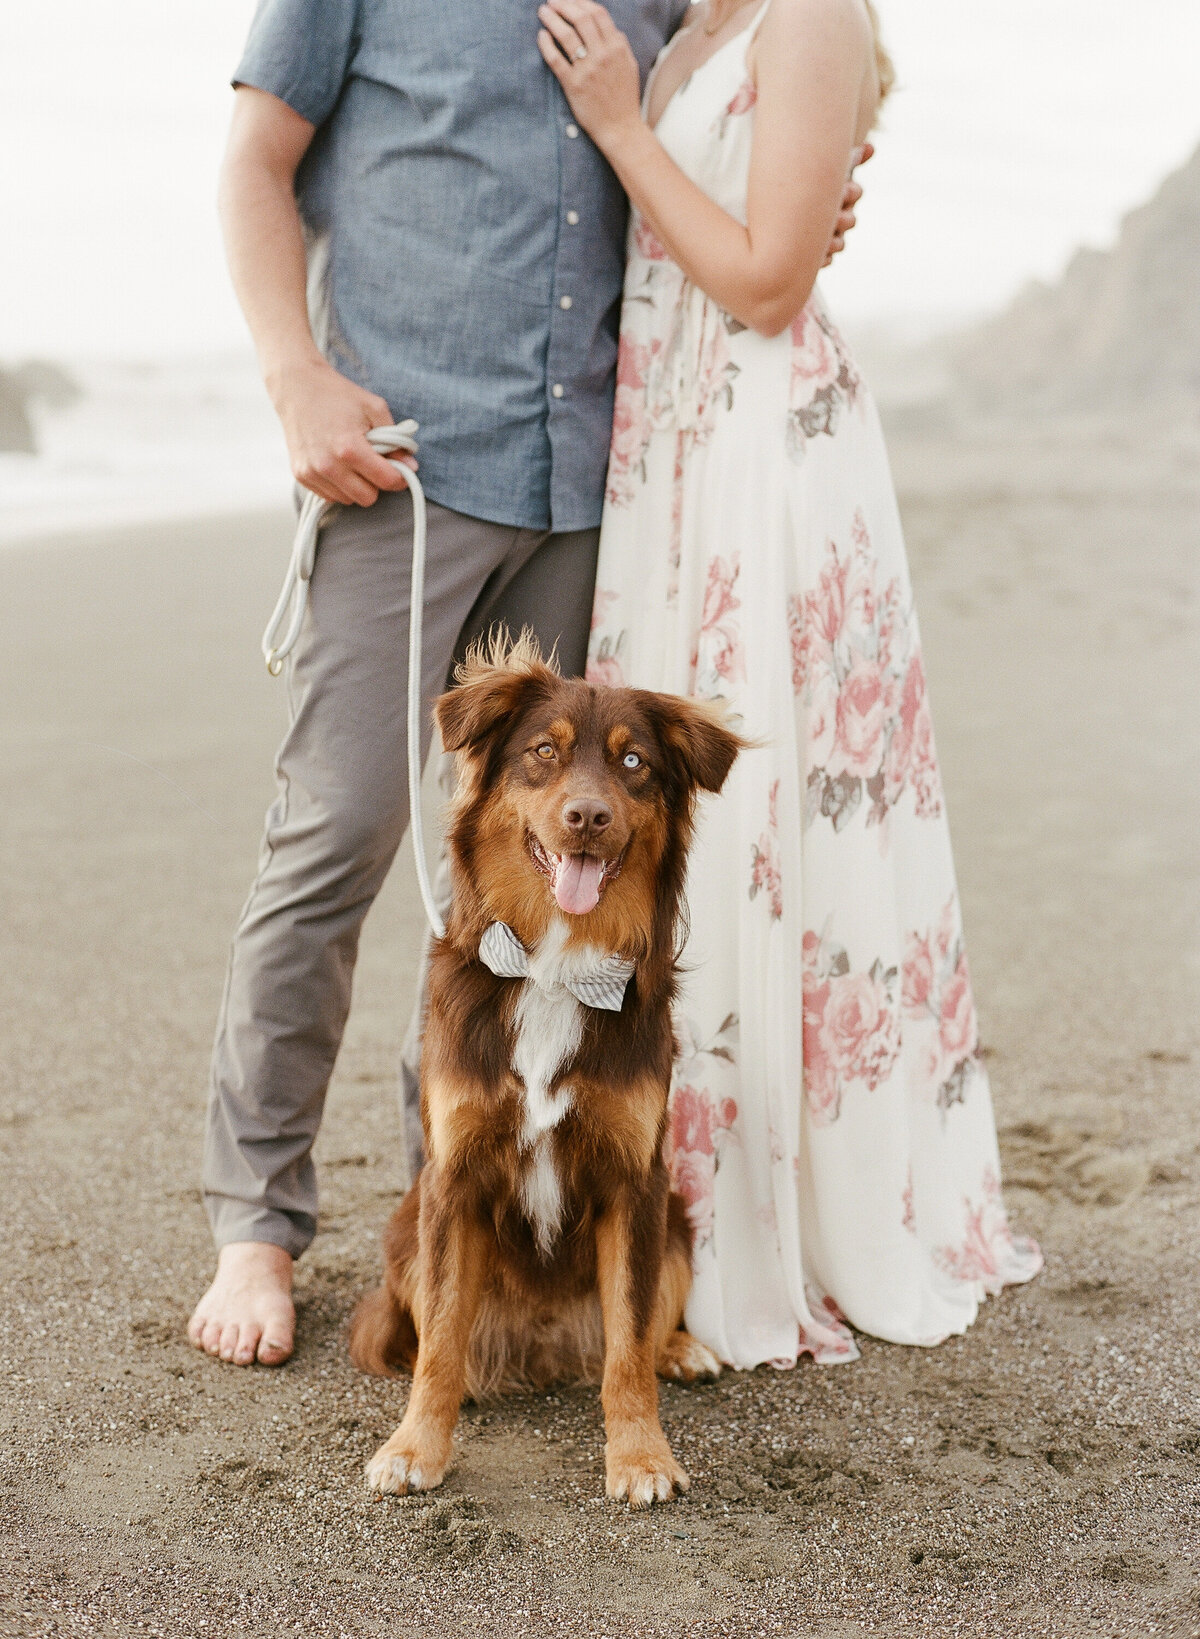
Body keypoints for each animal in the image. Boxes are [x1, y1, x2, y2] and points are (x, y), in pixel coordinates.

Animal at [347, 632, 740, 1501]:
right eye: (543, 752)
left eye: (634, 763)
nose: (587, 816)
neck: (557, 966)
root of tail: (547, 1347)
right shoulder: (453, 1177)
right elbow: (440, 1340)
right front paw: (416, 1445)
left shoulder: (635, 1180)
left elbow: (628, 1342)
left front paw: (641, 1455)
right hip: (404, 1226)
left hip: (678, 1218)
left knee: (645, 1325)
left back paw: (683, 1347)